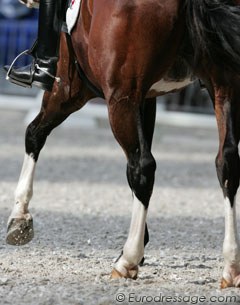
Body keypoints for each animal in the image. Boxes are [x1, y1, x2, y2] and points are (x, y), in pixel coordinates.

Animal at [6, 0, 240, 288]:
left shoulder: (68, 91)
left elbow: (33, 134)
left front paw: (19, 218)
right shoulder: (147, 97)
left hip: (118, 98)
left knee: (143, 168)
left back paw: (127, 260)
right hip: (223, 86)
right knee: (226, 164)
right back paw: (231, 266)